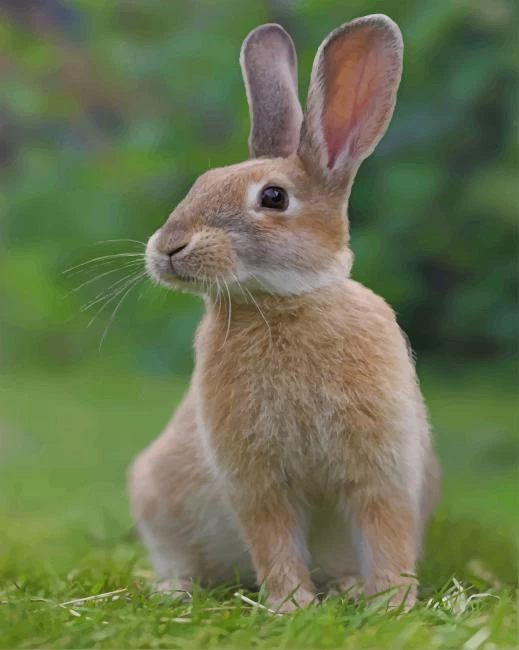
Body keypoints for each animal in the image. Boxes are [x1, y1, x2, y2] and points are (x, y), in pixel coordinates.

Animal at [128, 14, 440, 613]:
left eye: (273, 198)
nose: (169, 247)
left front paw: (391, 603)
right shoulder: (255, 478)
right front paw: (290, 605)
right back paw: (176, 590)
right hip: (156, 496)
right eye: (200, 185)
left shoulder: (382, 466)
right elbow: (273, 540)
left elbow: (385, 532)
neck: (283, 303)